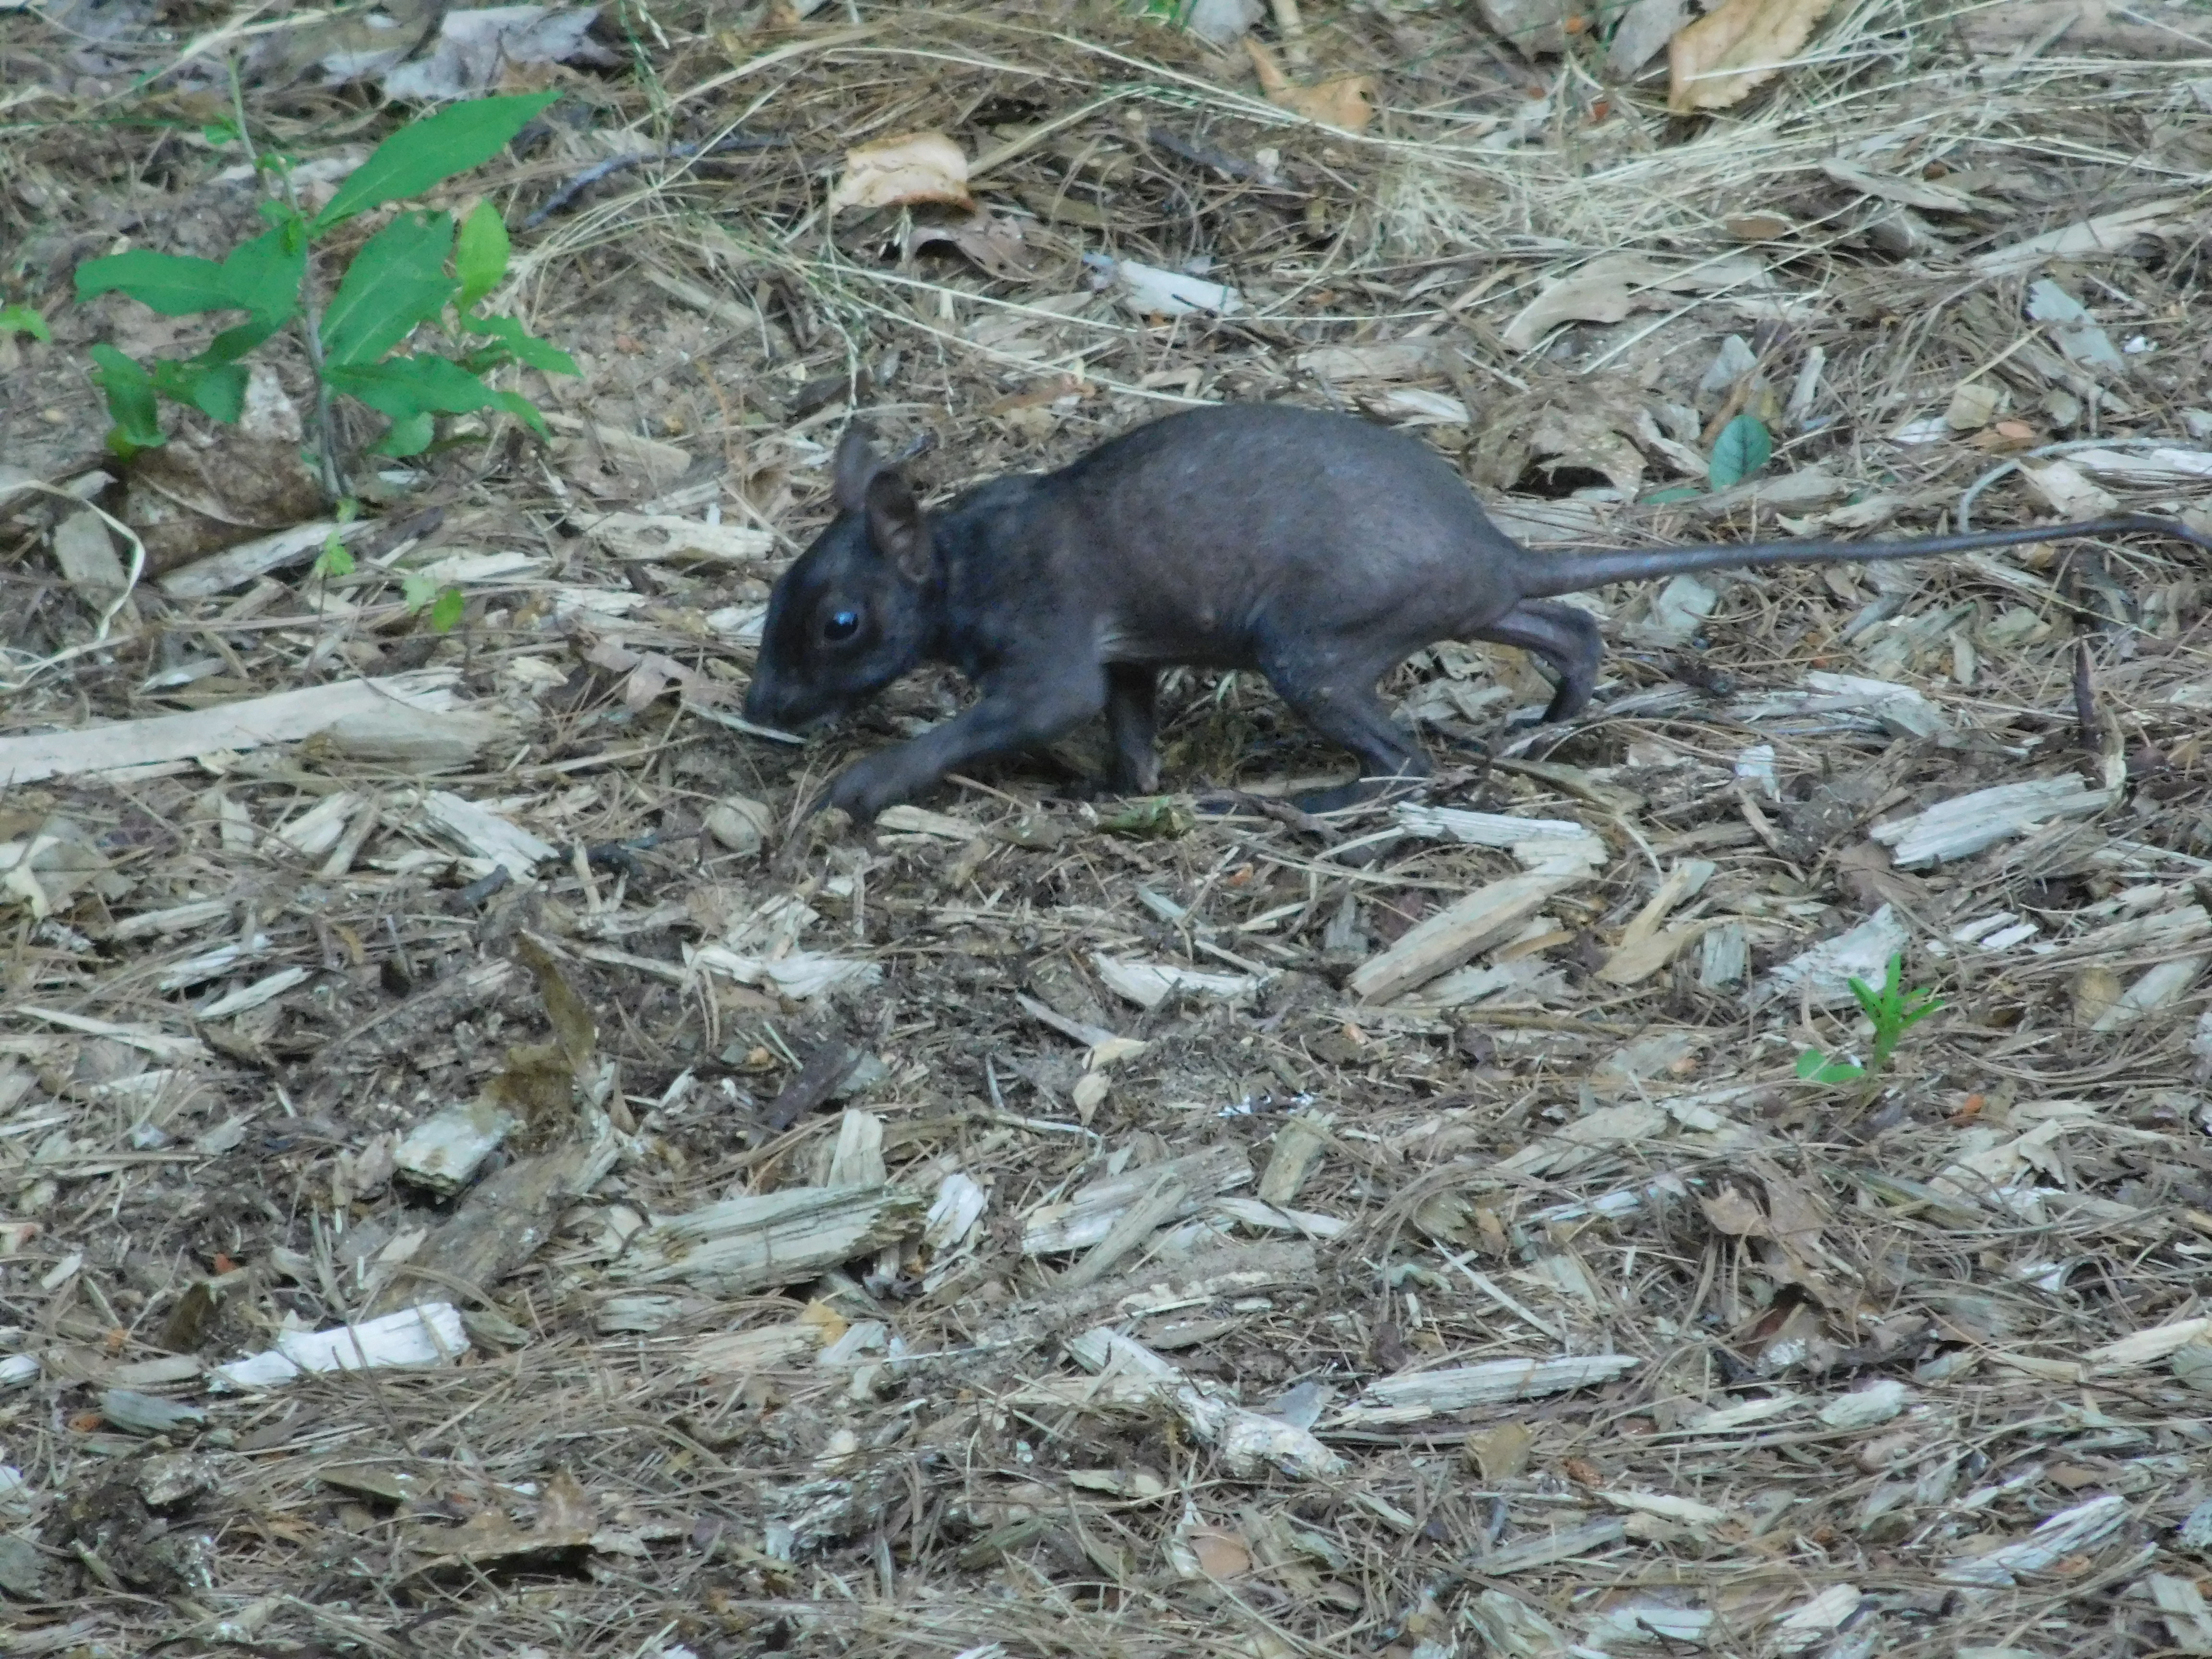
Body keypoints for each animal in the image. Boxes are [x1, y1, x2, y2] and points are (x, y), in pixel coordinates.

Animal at [747, 402, 2212, 818]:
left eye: (835, 624)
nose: (759, 712)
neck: (958, 558)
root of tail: (1495, 551)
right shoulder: (1123, 668)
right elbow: (1133, 738)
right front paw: (1126, 795)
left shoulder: (1051, 662)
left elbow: (982, 724)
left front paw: (861, 791)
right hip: (1444, 622)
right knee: (1569, 632)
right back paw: (1548, 720)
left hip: (1307, 654)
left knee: (1409, 763)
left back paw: (1325, 799)